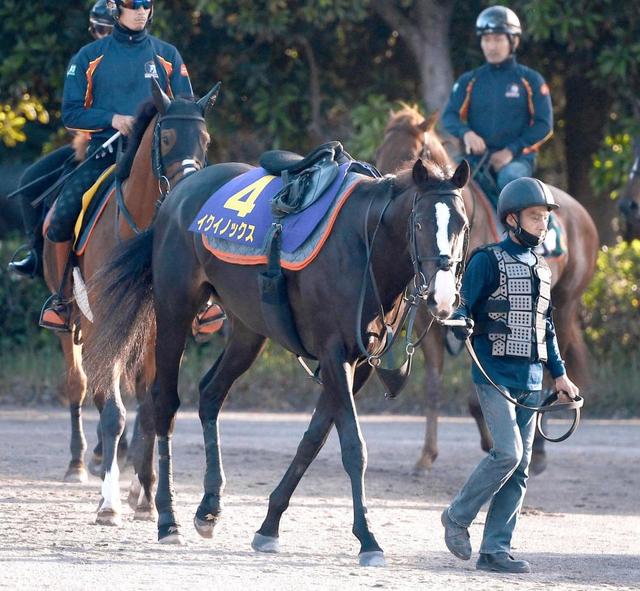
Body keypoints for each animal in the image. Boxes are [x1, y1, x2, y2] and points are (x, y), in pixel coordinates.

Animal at [42, 80, 220, 528]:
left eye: (206, 140)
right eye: (167, 136)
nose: (190, 193)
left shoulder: (159, 326)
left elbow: (153, 408)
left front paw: (147, 495)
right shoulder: (101, 322)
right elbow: (112, 412)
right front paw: (109, 504)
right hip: (76, 327)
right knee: (81, 387)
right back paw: (80, 466)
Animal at [86, 156, 470, 564]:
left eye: (461, 225)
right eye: (420, 223)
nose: (443, 298)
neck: (363, 244)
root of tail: (176, 195)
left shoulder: (358, 365)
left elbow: (313, 439)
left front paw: (269, 525)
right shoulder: (335, 356)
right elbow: (353, 447)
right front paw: (368, 538)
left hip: (248, 330)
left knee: (210, 393)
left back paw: (209, 506)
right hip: (174, 311)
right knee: (165, 404)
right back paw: (167, 517)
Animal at [376, 106, 600, 474]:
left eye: (413, 153)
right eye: (381, 152)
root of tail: (581, 214)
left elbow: (478, 392)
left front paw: (493, 441)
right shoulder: (429, 322)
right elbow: (435, 387)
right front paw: (427, 456)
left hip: (565, 306)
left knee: (551, 372)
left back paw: (539, 450)